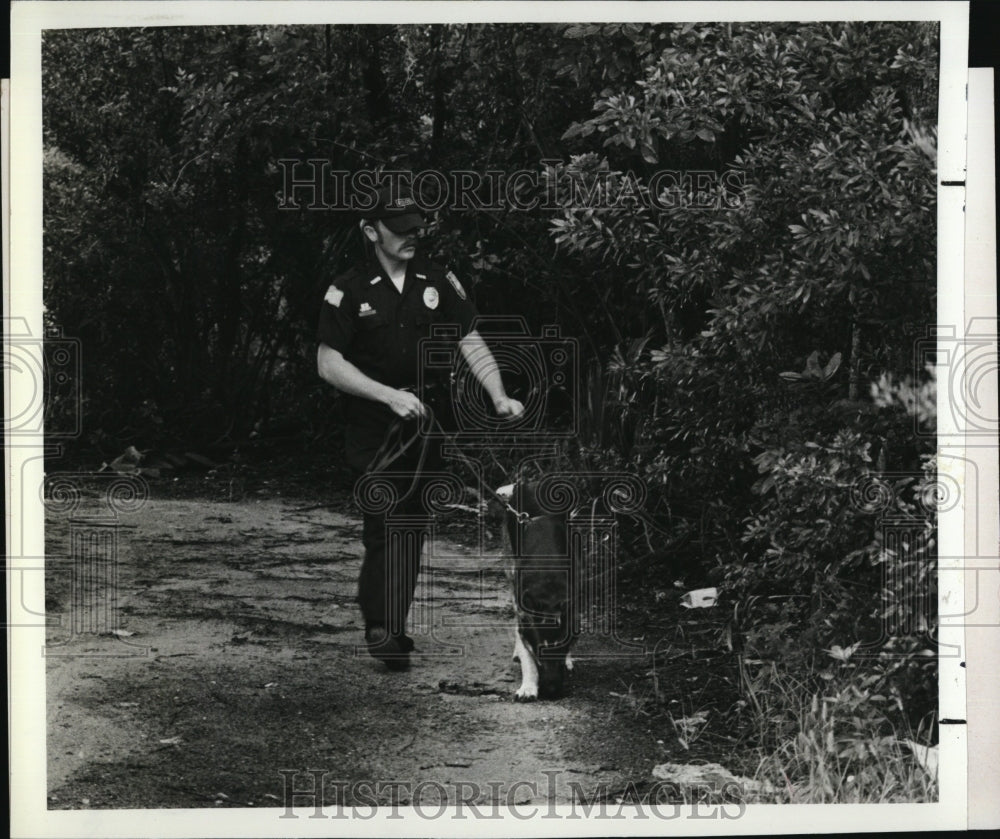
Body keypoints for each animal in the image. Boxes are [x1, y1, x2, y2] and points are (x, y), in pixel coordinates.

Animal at [498, 480, 584, 704]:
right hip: (510, 567)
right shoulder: (524, 613)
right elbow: (528, 655)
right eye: (539, 651)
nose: (553, 691)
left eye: (561, 648)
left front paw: (568, 659)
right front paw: (528, 686)